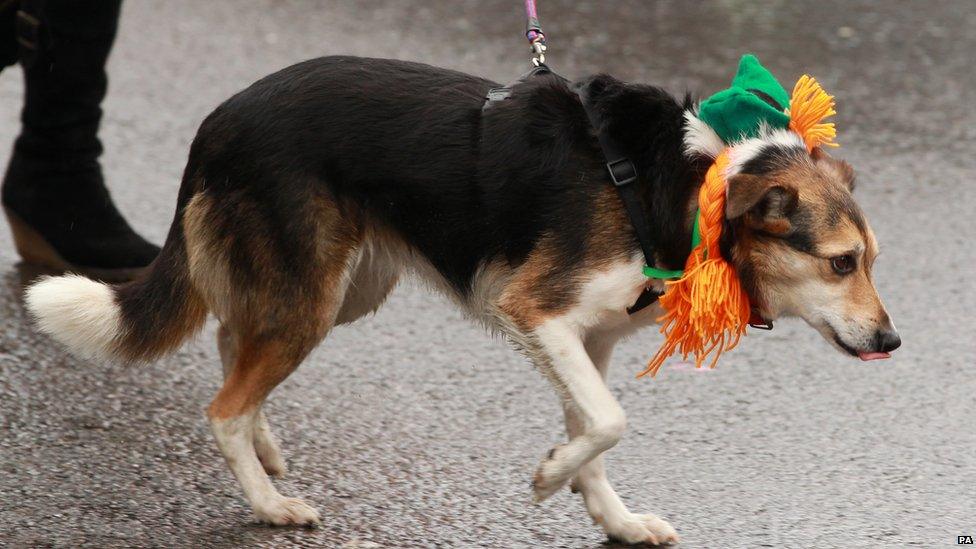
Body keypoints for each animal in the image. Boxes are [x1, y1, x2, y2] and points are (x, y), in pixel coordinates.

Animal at [22, 55, 900, 544]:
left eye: (870, 261)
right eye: (840, 262)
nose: (892, 343)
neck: (690, 184)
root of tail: (217, 122)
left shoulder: (591, 337)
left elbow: (596, 428)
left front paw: (612, 519)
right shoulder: (537, 312)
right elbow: (609, 420)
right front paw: (548, 478)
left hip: (344, 286)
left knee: (234, 344)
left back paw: (266, 452)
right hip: (314, 293)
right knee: (224, 404)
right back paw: (269, 502)